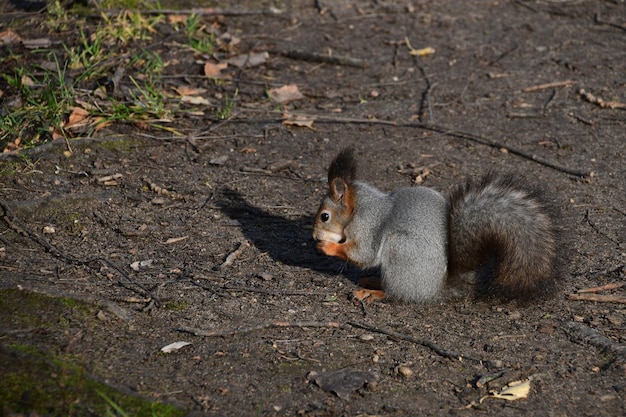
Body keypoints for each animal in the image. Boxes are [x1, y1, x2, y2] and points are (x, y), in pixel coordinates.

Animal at [312, 147, 560, 302]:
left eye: (325, 216)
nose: (314, 236)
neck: (359, 206)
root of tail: (438, 287)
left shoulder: (366, 225)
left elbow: (363, 254)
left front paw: (328, 247)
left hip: (401, 249)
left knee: (398, 294)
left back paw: (374, 293)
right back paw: (373, 281)